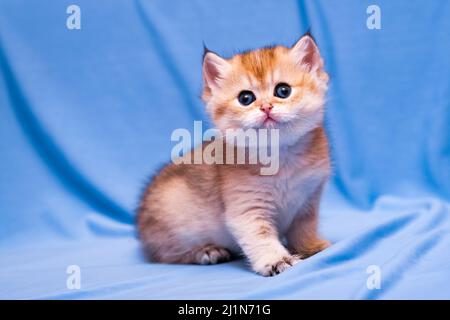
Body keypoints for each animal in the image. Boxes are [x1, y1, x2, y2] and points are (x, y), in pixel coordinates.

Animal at [137, 33, 330, 278]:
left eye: (283, 91)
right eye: (245, 98)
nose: (266, 107)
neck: (280, 156)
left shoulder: (309, 200)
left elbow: (304, 228)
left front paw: (311, 248)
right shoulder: (246, 208)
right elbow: (260, 236)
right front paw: (277, 260)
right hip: (173, 223)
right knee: (166, 255)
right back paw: (207, 252)